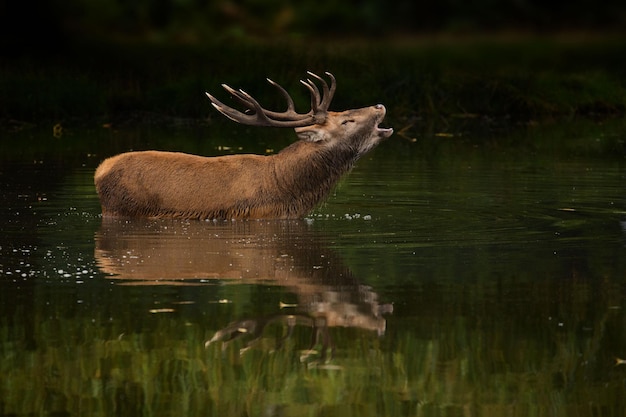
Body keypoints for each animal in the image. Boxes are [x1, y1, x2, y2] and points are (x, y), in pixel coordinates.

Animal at [92, 70, 390, 221]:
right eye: (347, 121)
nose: (379, 105)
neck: (287, 191)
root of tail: (99, 170)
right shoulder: (258, 215)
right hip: (119, 207)